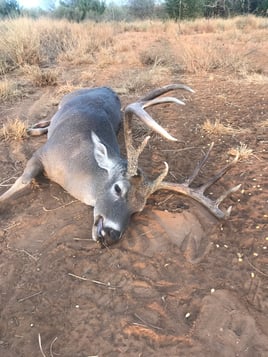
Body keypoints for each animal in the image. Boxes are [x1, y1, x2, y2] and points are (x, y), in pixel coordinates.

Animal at [0, 83, 241, 245]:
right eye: (118, 188)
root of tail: (105, 87)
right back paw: (32, 128)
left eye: (137, 210)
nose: (111, 234)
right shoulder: (42, 153)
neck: (72, 162)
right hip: (65, 99)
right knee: (49, 118)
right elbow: (23, 181)